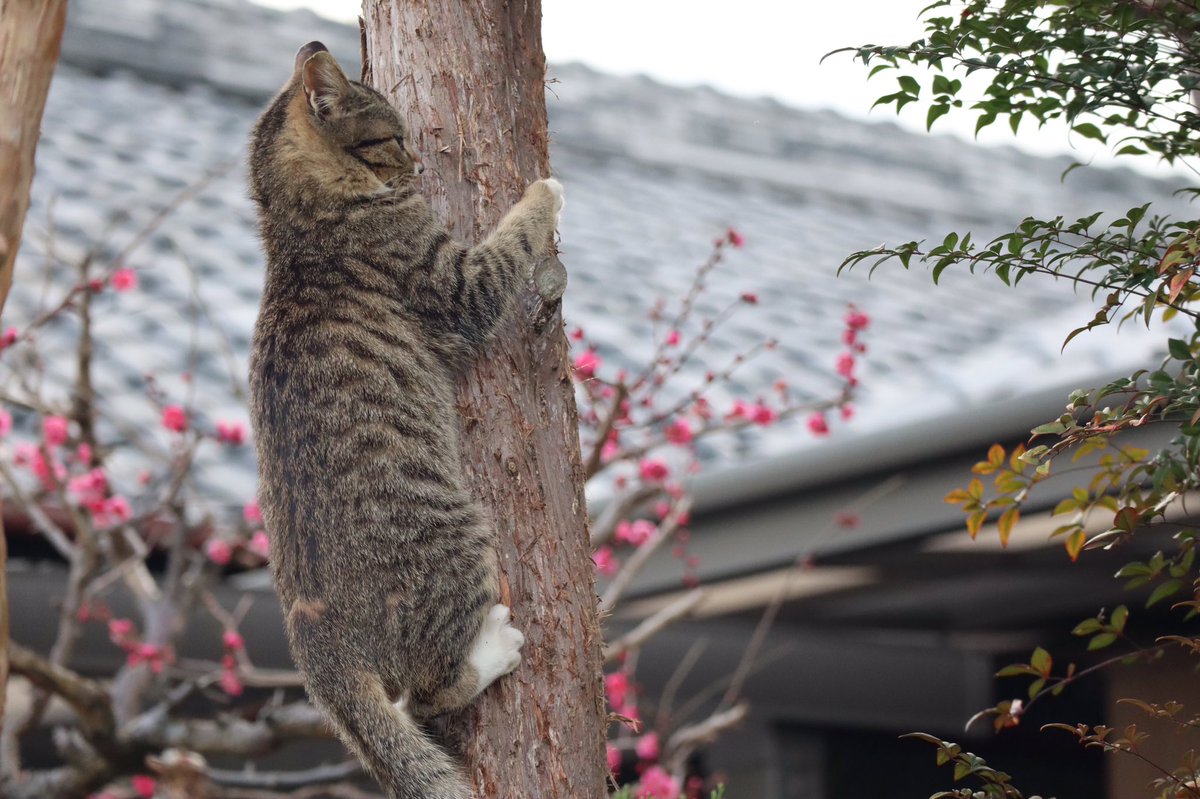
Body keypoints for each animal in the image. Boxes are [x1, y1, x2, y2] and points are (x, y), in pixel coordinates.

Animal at [247, 41, 564, 799]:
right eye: (392, 136)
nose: (419, 162)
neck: (297, 223)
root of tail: (311, 635)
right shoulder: (459, 284)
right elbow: (510, 241)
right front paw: (544, 192)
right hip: (461, 535)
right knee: (426, 694)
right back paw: (494, 650)